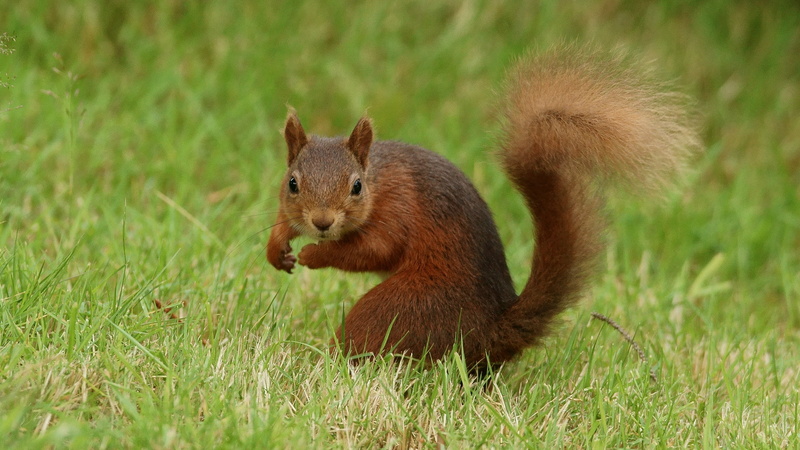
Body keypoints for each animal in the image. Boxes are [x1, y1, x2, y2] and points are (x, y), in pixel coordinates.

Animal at [266, 46, 699, 369]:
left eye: (356, 187)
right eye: (291, 183)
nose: (322, 222)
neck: (378, 180)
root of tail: (488, 333)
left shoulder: (398, 209)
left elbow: (375, 250)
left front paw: (315, 254)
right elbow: (285, 222)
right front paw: (277, 248)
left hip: (403, 310)